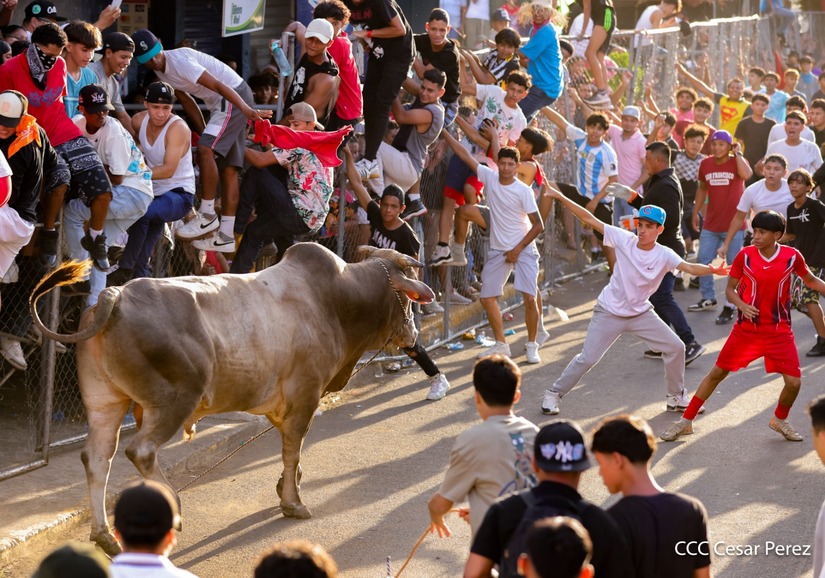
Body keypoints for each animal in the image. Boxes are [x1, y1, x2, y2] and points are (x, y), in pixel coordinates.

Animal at [30, 243, 435, 555]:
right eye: (407, 299)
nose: (414, 334)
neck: (338, 299)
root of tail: (114, 295)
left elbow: (291, 452)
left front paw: (288, 486)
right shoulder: (305, 394)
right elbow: (293, 448)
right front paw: (293, 502)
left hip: (105, 402)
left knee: (98, 458)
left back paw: (104, 536)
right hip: (175, 398)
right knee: (139, 451)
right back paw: (172, 504)